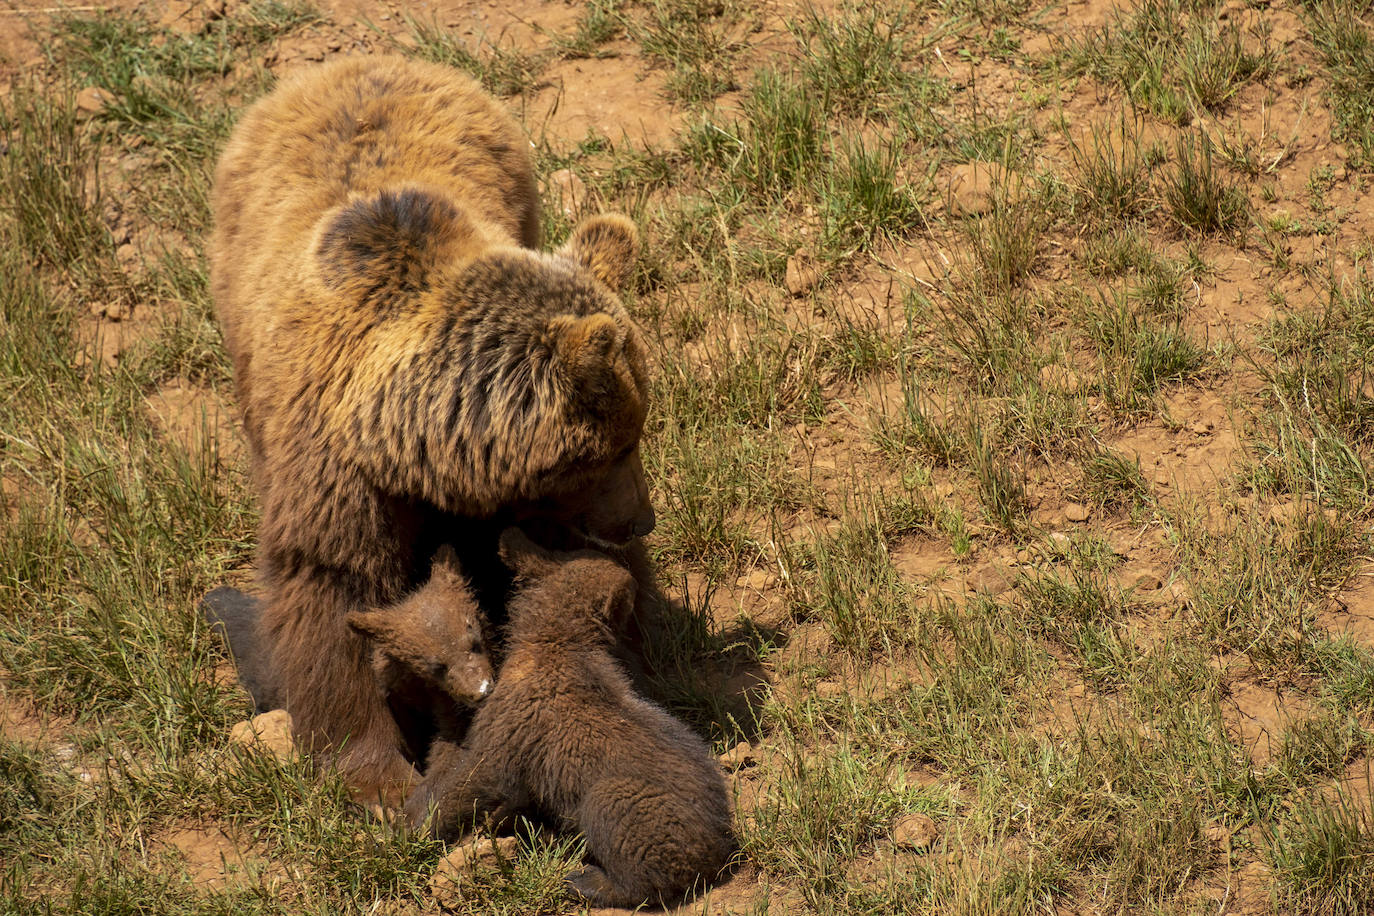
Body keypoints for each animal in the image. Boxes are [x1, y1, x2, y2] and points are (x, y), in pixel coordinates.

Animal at [208, 53, 654, 807]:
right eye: (617, 448)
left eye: (639, 430)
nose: (640, 521)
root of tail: (356, 61)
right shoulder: (333, 474)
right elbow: (333, 597)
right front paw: (375, 774)